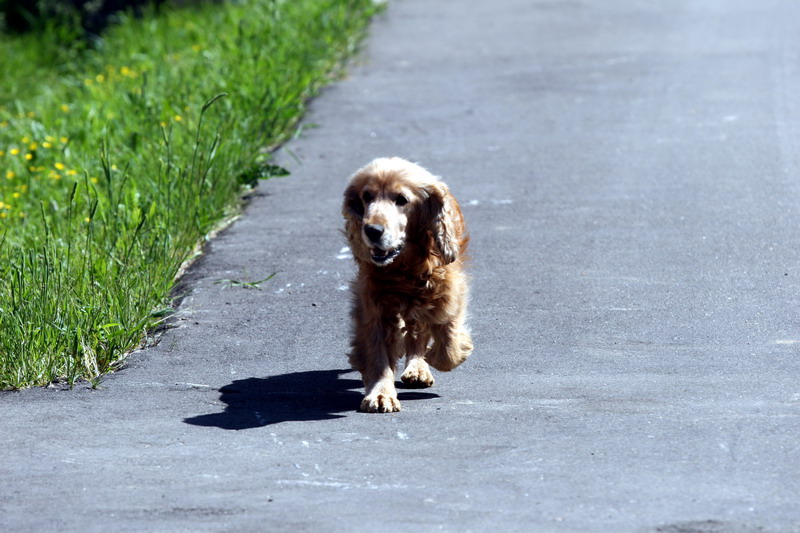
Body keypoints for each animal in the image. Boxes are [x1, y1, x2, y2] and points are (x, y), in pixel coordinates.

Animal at [340, 156, 472, 414]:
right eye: (366, 196)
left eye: (401, 199)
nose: (372, 230)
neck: (404, 266)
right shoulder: (373, 305)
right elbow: (378, 353)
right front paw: (381, 394)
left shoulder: (447, 292)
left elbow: (448, 346)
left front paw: (435, 356)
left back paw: (418, 367)